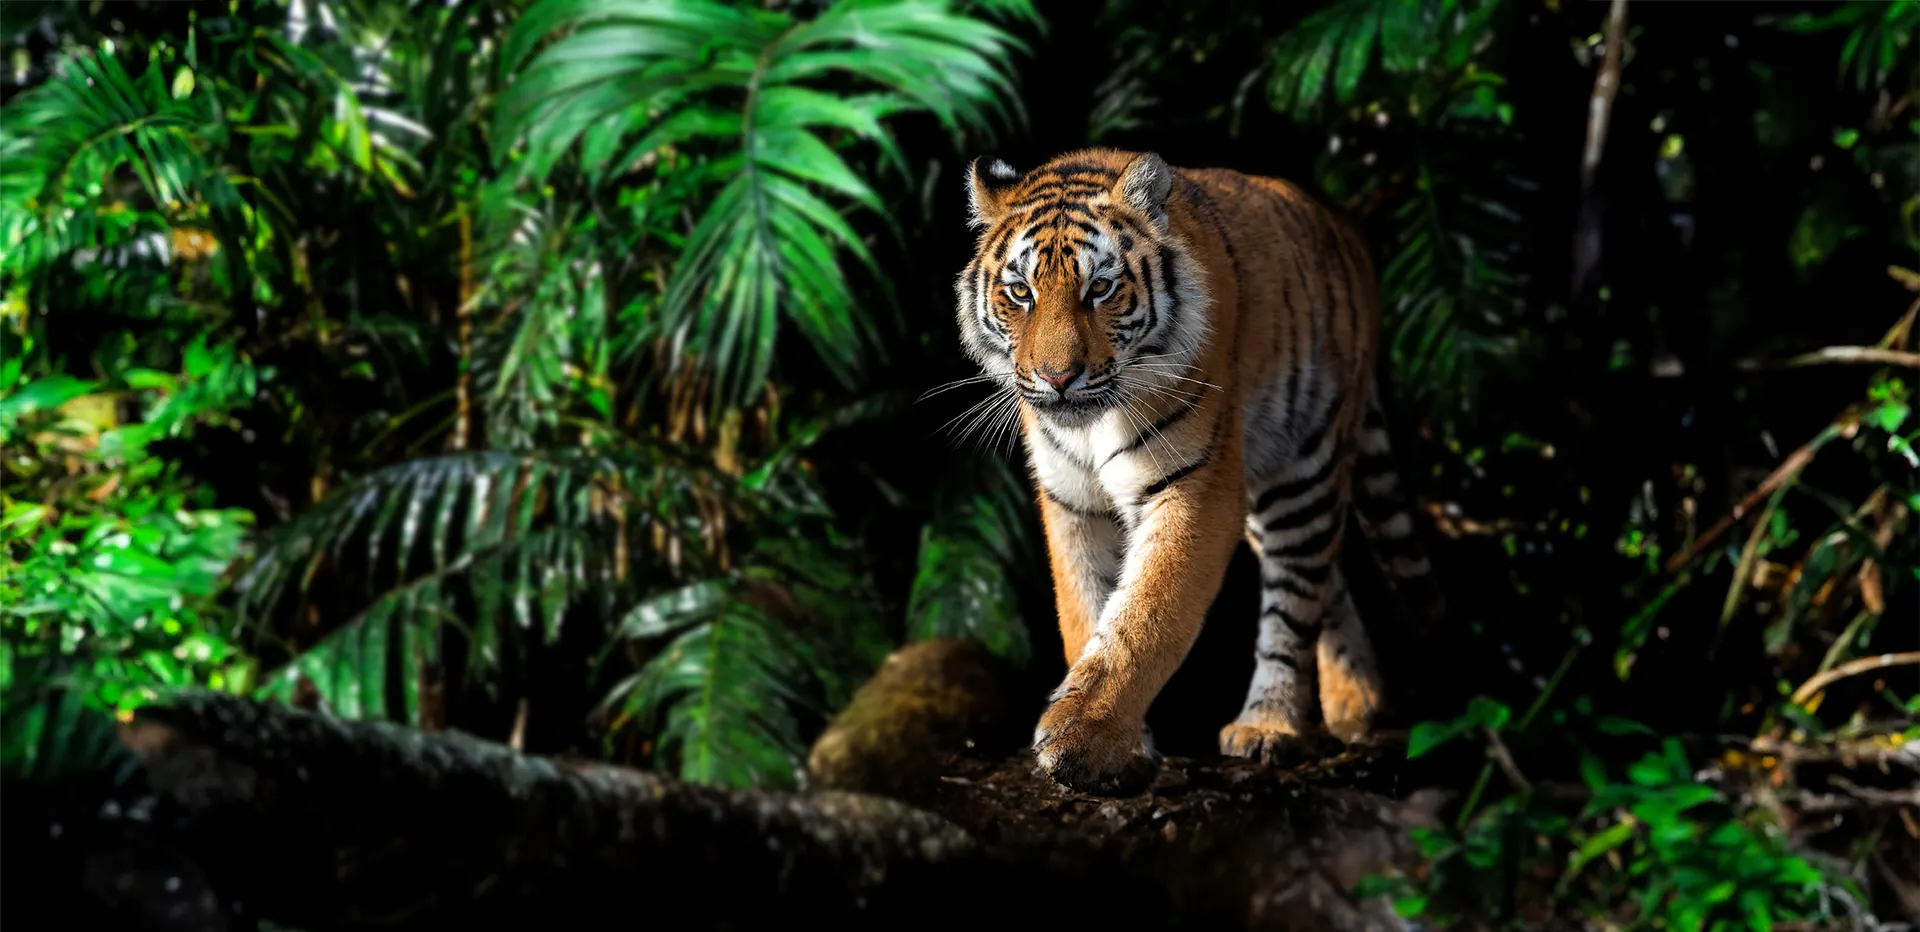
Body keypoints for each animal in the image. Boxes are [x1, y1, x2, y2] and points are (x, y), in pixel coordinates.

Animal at [951, 148, 1446, 795]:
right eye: (1020, 292)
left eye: (1100, 288)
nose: (1057, 379)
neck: (1091, 424)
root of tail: (1345, 227)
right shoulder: (1072, 503)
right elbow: (1085, 612)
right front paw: (1123, 747)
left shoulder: (1195, 486)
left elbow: (1146, 617)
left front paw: (1083, 741)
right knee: (1326, 580)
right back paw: (1357, 703)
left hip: (1303, 469)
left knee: (1296, 598)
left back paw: (1270, 725)